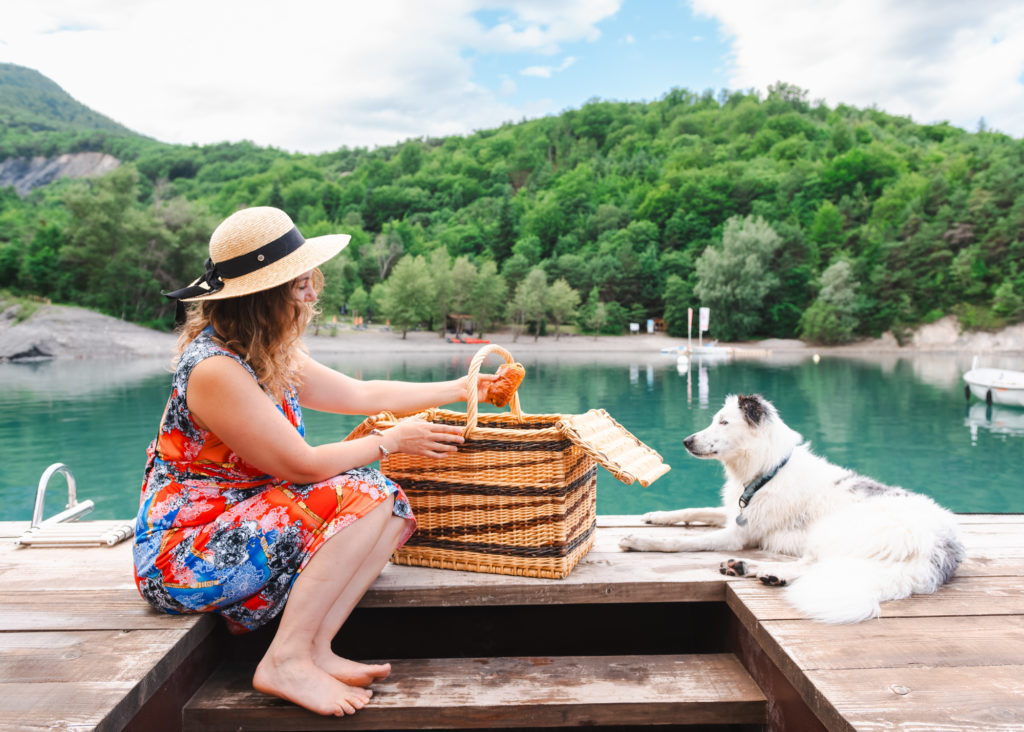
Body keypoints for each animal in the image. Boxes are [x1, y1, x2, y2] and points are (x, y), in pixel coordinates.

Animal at [618, 395, 962, 622]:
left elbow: (679, 541)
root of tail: (941, 547)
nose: (686, 441)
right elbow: (693, 511)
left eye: (724, 422)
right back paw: (745, 568)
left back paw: (769, 572)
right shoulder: (736, 515)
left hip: (832, 530)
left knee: (814, 565)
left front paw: (638, 540)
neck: (768, 471)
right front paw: (655, 516)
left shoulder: (736, 535)